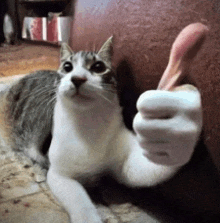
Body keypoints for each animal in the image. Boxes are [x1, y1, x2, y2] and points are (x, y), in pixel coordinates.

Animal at [0, 37, 202, 223]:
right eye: (67, 67)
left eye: (98, 67)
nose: (77, 78)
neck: (88, 121)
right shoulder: (58, 173)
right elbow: (78, 198)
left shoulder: (125, 161)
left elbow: (145, 167)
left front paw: (178, 122)